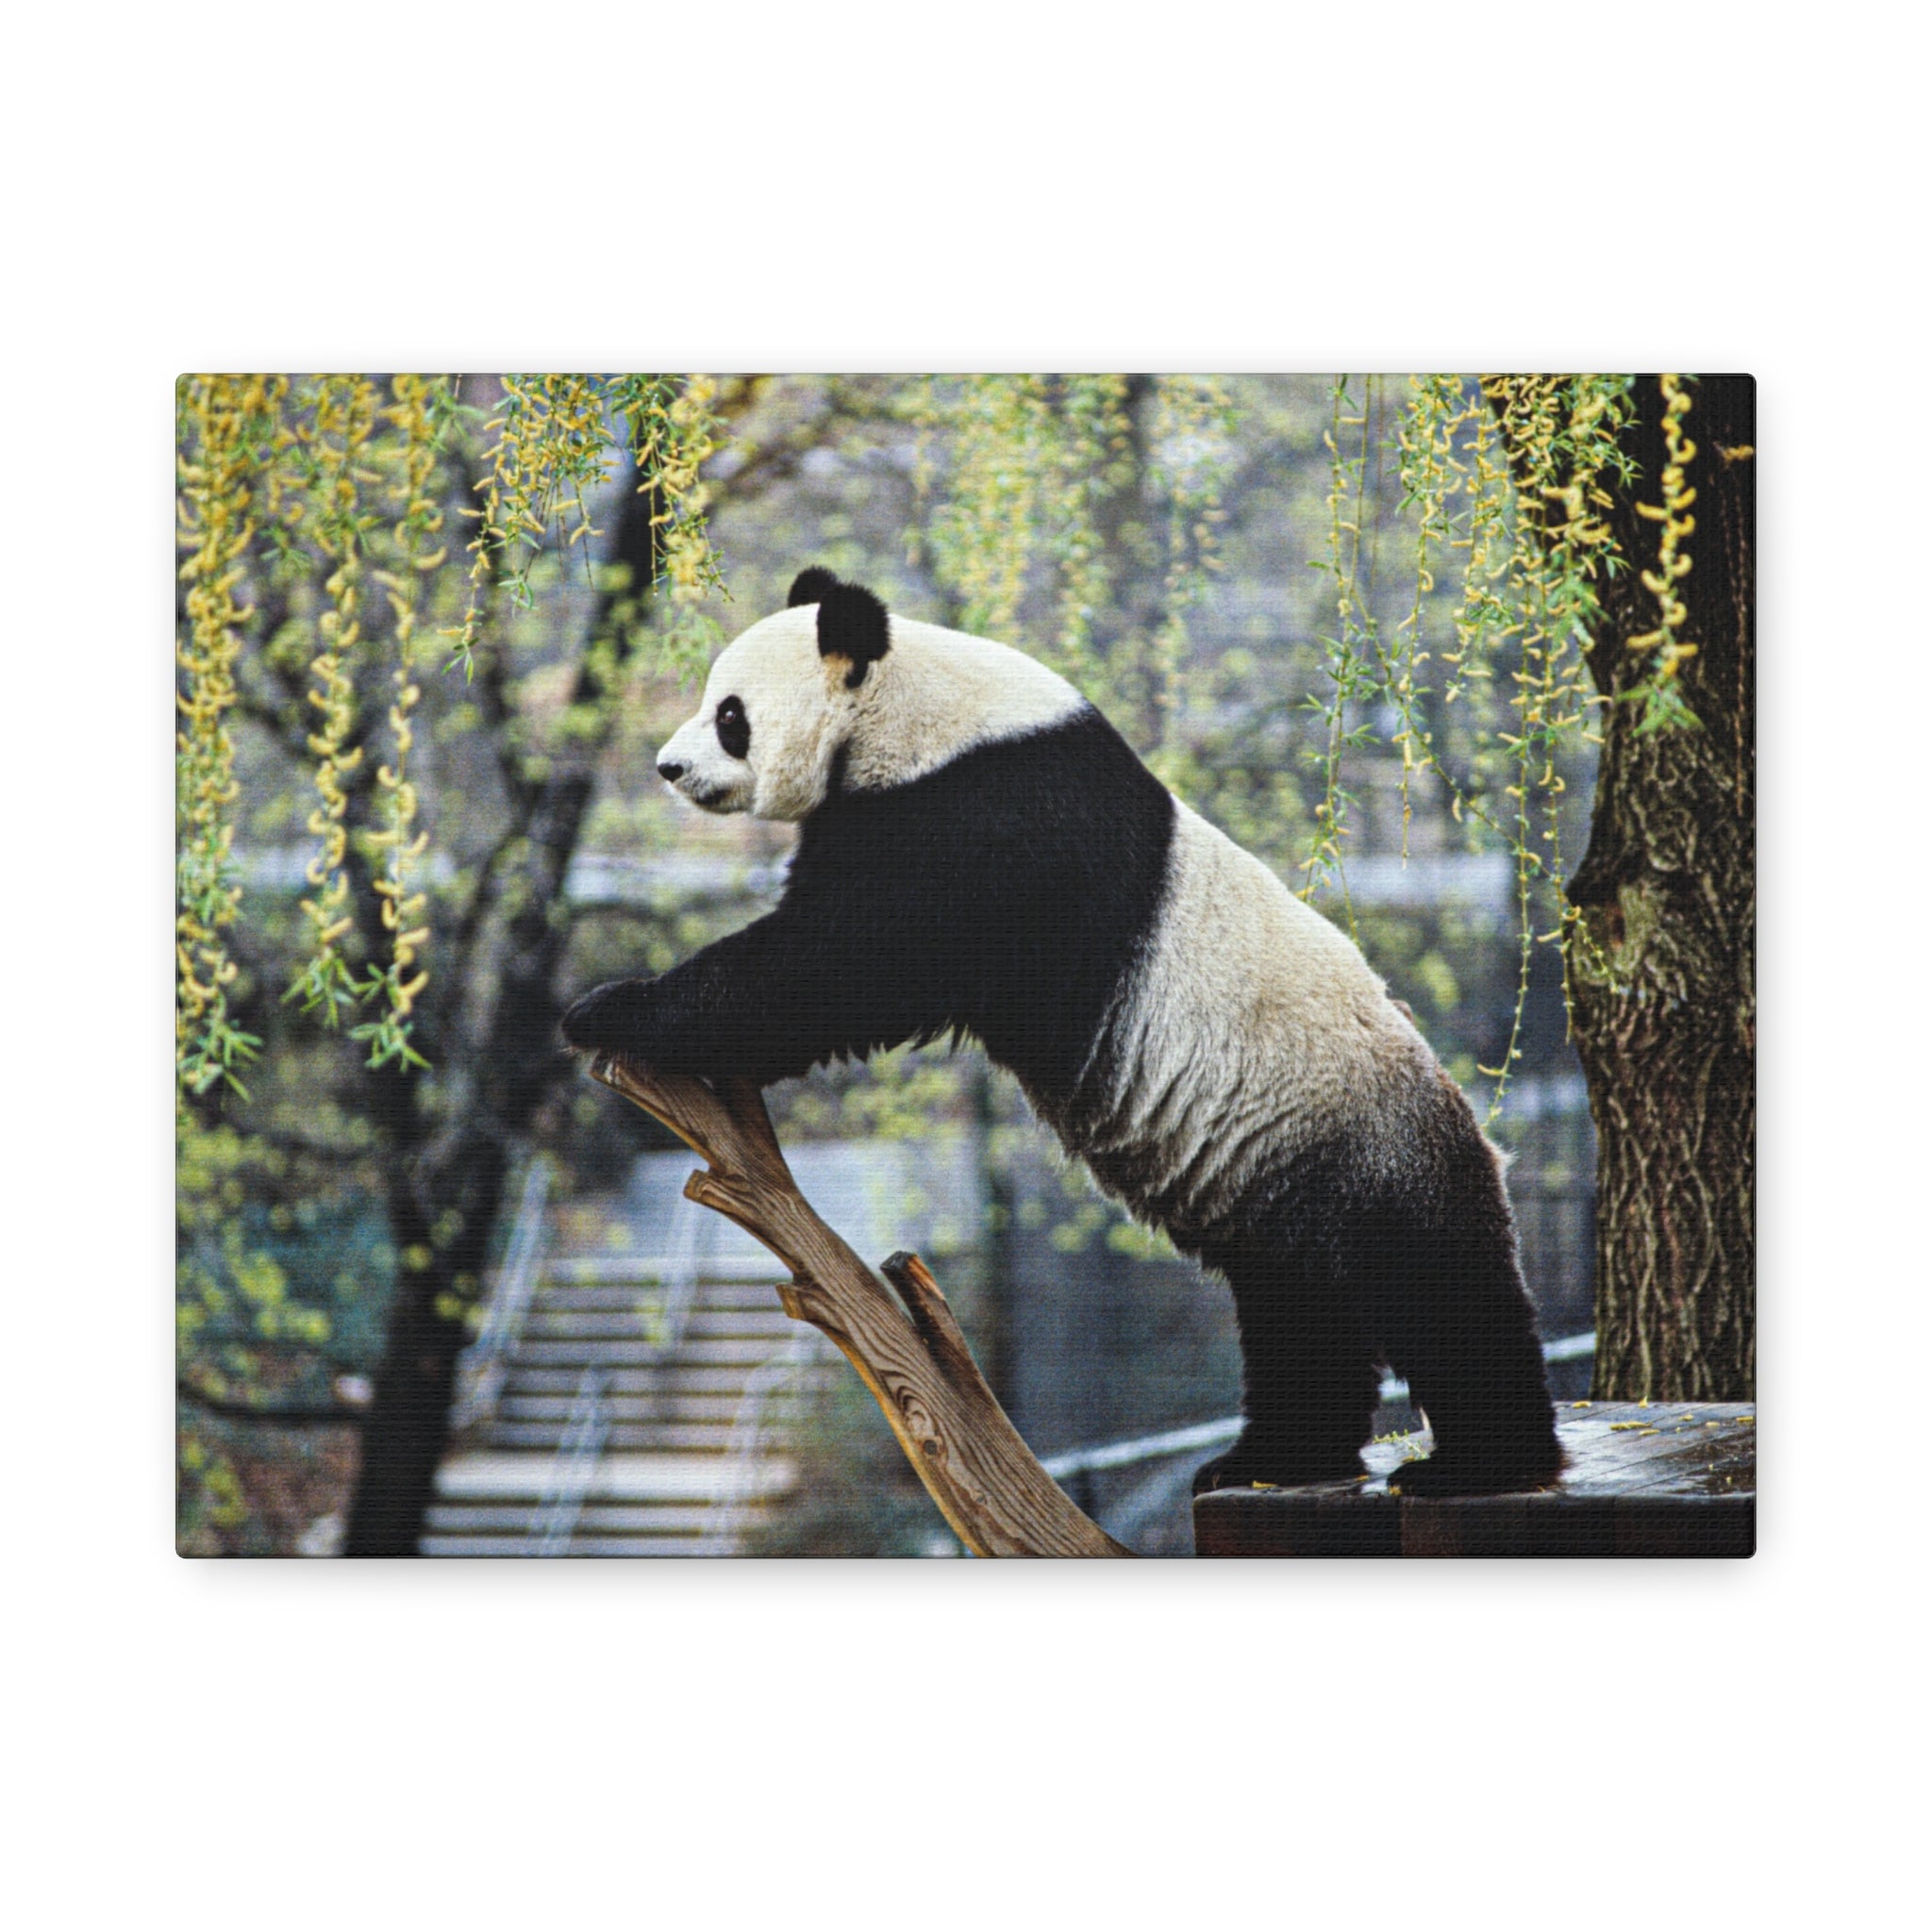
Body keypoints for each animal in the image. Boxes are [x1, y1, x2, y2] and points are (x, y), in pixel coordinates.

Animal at [564, 567, 1561, 1497]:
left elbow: (839, 965)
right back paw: (1270, 1459)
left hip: (1364, 1145)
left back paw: (1481, 1464)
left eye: (730, 715)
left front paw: (610, 1008)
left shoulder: (984, 820)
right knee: (1297, 1316)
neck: (916, 710)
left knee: (1438, 1293)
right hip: (1283, 1183)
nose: (669, 768)